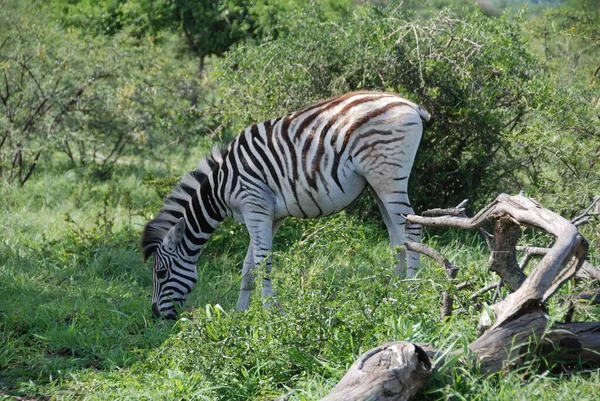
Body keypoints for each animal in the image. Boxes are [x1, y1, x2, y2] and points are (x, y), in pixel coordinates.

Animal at [141, 90, 432, 318]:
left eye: (161, 273)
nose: (155, 315)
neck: (220, 187)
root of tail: (409, 104)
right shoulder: (269, 215)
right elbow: (248, 266)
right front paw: (239, 313)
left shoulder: (254, 206)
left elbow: (262, 262)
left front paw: (270, 311)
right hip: (377, 183)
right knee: (397, 238)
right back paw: (391, 291)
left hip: (388, 176)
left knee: (412, 229)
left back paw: (411, 290)